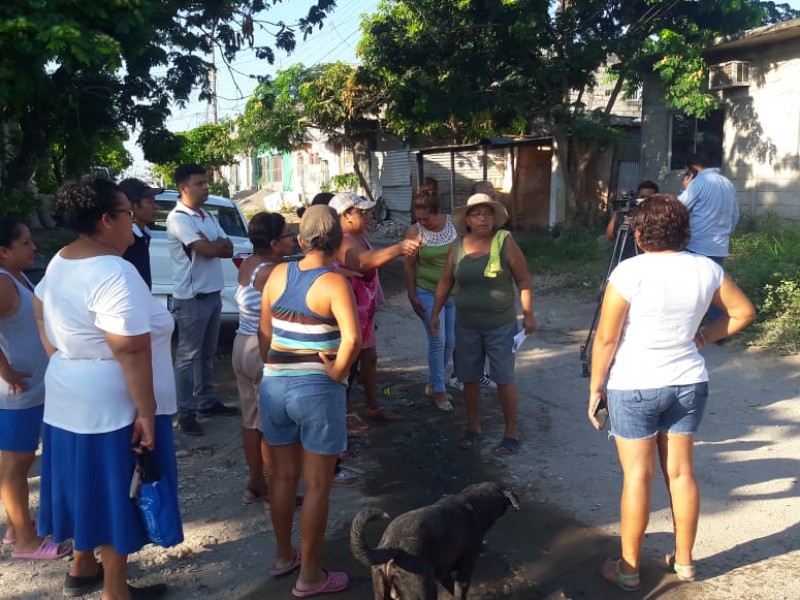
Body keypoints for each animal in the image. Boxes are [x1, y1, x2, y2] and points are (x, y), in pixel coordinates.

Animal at [350, 482, 520, 600]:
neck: (475, 503)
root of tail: (392, 546)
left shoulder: (442, 572)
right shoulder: (465, 569)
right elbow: (460, 591)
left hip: (381, 591)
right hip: (423, 591)